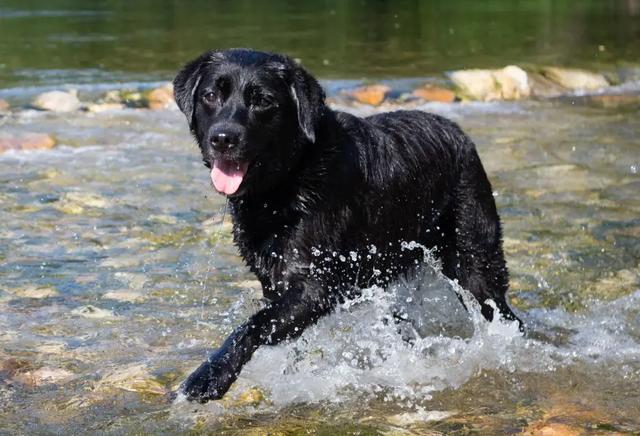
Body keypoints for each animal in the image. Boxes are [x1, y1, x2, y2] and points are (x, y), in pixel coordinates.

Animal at [174, 48, 520, 402]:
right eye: (210, 96)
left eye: (263, 101)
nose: (223, 138)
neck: (289, 178)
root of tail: (460, 134)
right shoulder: (275, 281)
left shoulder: (315, 285)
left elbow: (253, 325)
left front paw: (209, 376)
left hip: (474, 260)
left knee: (502, 311)